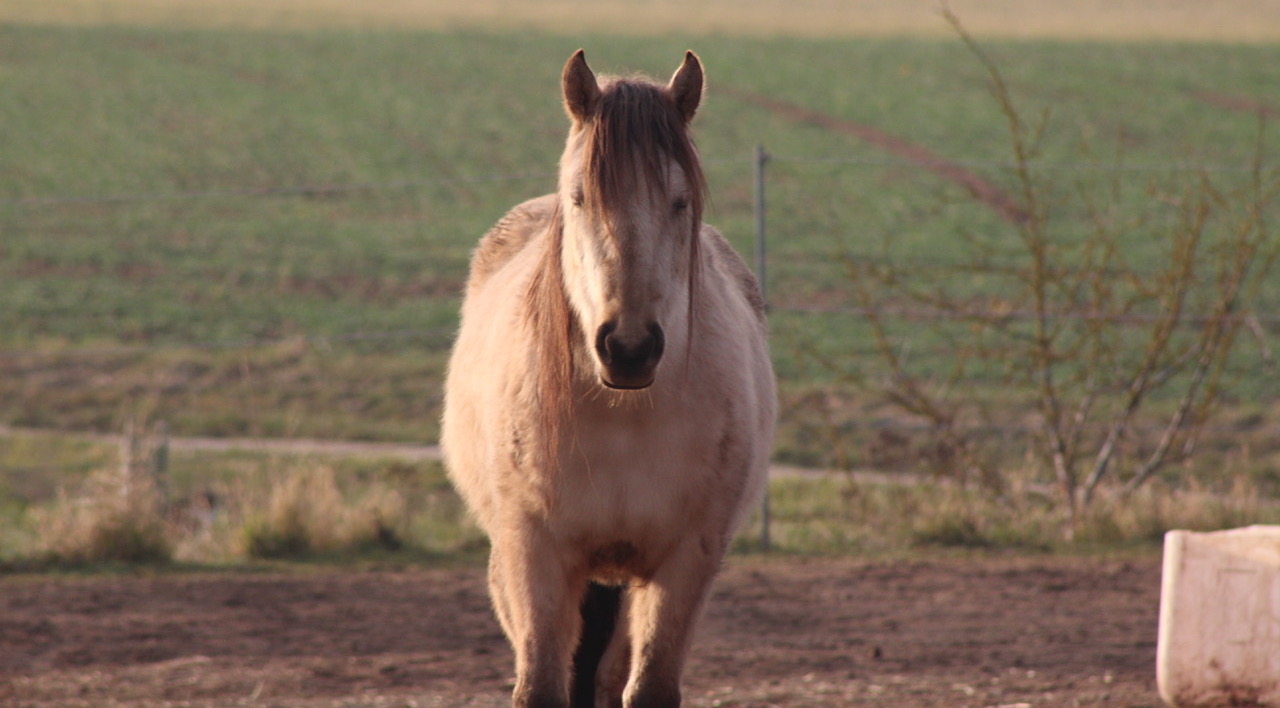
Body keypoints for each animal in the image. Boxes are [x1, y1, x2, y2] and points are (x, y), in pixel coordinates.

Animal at [440, 49, 778, 706]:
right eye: (579, 198)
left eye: (680, 201)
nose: (629, 347)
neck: (625, 415)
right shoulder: (533, 554)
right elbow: (542, 686)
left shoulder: (685, 562)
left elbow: (647, 687)